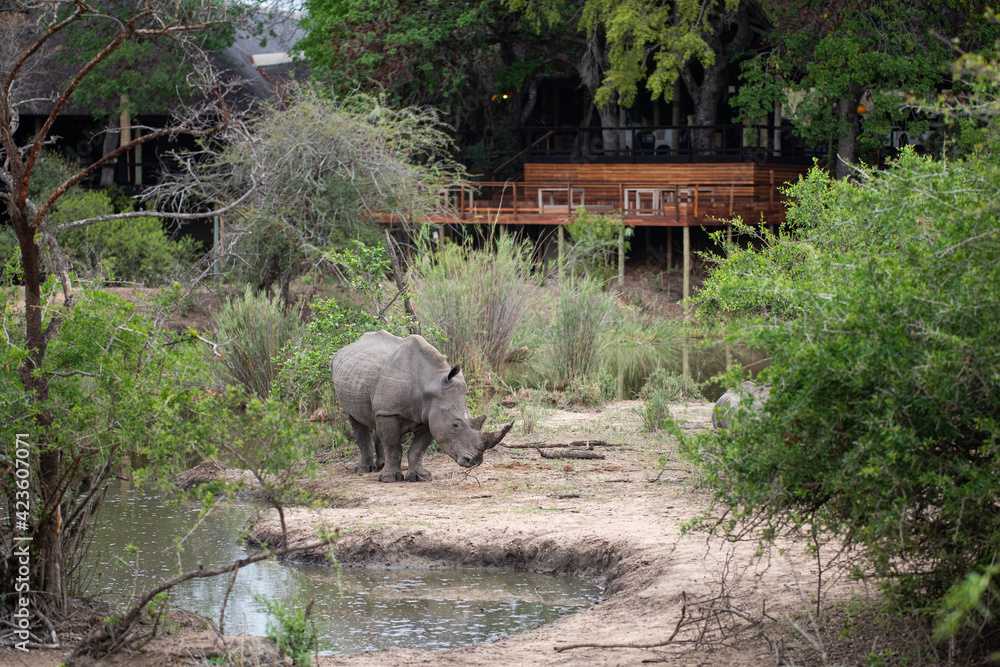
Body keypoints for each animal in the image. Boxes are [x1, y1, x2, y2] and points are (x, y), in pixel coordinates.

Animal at [331, 330, 513, 482]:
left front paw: (420, 477)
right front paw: (390, 479)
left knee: (375, 418)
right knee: (355, 418)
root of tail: (344, 348)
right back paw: (364, 470)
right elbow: (392, 446)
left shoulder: (431, 416)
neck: (431, 381)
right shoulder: (391, 412)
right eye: (455, 425)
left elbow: (418, 449)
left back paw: (381, 465)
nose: (475, 461)